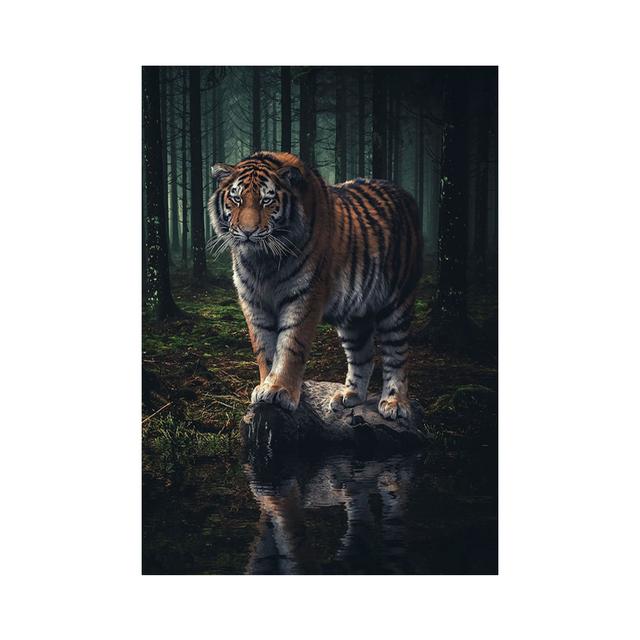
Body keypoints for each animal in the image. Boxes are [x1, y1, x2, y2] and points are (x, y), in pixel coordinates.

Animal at [208, 151, 422, 420]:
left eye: (267, 201)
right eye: (236, 198)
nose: (247, 232)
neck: (263, 261)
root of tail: (405, 194)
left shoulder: (304, 295)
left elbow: (290, 346)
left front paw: (278, 390)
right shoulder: (253, 301)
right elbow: (264, 349)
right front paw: (265, 386)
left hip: (398, 302)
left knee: (397, 356)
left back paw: (394, 404)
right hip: (354, 316)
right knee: (363, 355)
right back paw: (349, 396)